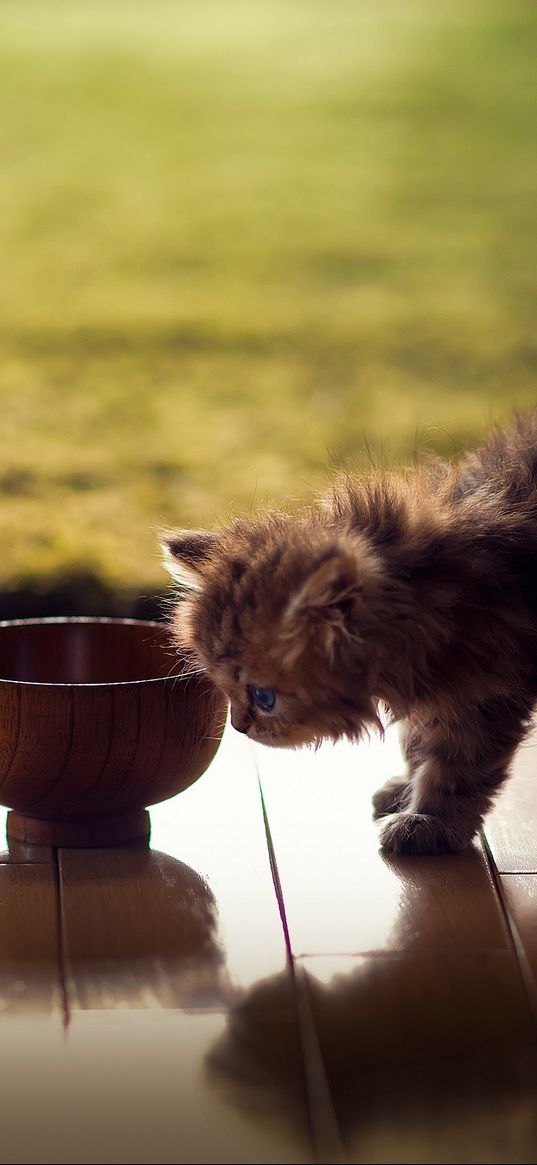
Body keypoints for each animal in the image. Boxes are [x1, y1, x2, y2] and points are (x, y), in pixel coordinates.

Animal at [160, 414, 535, 852]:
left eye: (264, 697)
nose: (238, 726)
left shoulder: (486, 692)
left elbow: (456, 768)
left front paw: (429, 821)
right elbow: (417, 738)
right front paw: (407, 789)